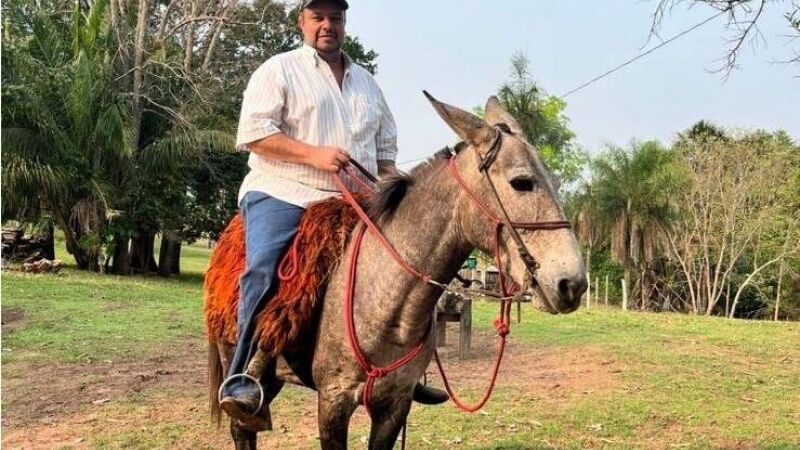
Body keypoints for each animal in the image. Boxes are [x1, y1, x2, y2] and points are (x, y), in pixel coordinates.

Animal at [214, 93, 588, 448]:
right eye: (522, 182)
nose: (573, 283)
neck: (387, 305)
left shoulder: (395, 404)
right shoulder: (333, 402)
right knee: (241, 427)